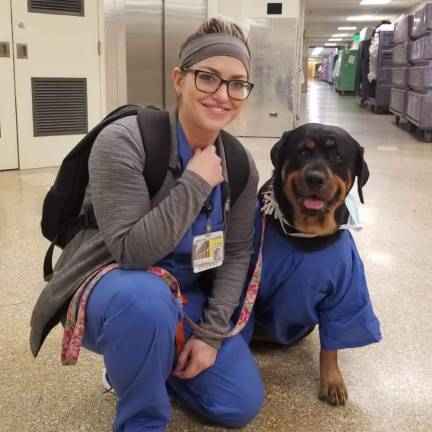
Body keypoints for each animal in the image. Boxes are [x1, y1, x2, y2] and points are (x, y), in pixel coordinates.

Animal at [243, 123, 382, 406]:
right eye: (302, 152)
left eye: (338, 156)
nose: (315, 178)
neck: (306, 234)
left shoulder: (345, 292)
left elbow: (332, 343)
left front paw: (332, 381)